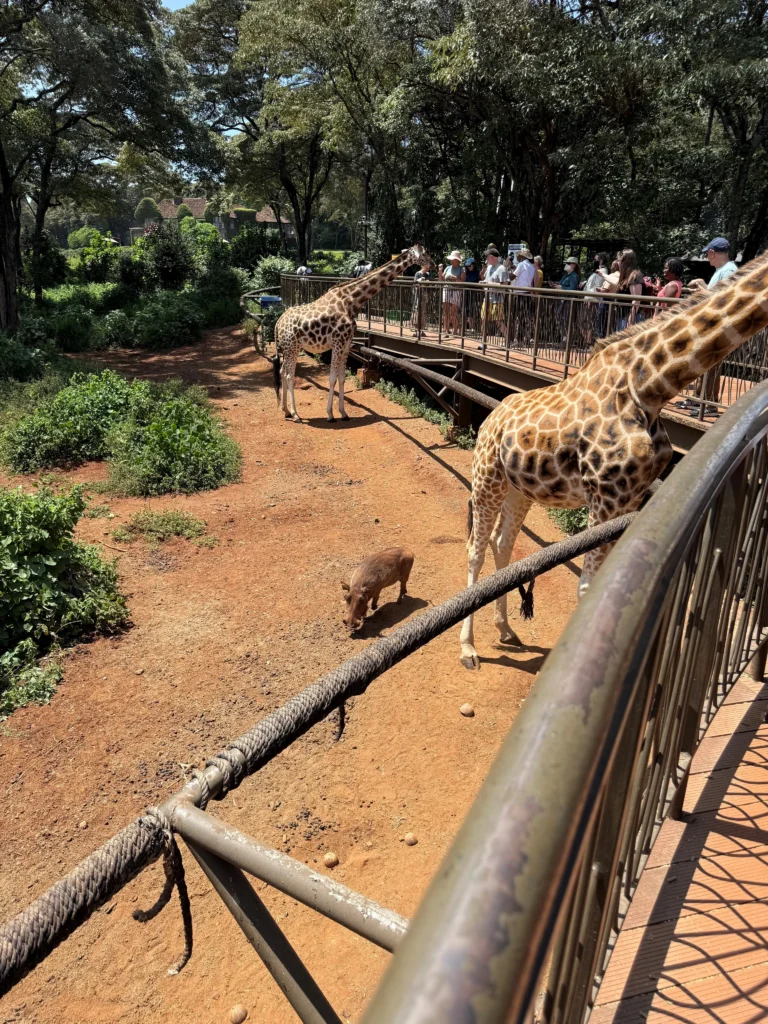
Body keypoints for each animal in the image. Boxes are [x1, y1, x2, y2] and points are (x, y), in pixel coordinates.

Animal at [271, 245, 433, 422]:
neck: (351, 301)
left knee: (282, 372)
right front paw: (330, 414)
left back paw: (285, 410)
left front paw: (343, 413)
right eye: (425, 254)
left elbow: (342, 378)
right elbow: (332, 378)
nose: (432, 264)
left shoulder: (347, 344)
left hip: (289, 348)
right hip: (292, 348)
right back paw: (295, 414)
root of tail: (278, 323)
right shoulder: (338, 343)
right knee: (289, 375)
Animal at [459, 250, 768, 669]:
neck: (651, 385)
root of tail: (490, 418)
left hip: (520, 489)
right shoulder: (605, 496)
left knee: (501, 544)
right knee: (475, 549)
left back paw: (506, 630)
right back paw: (468, 648)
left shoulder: (630, 496)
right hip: (487, 477)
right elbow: (587, 589)